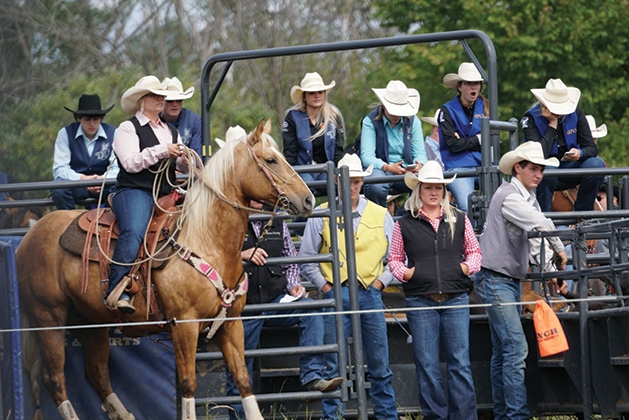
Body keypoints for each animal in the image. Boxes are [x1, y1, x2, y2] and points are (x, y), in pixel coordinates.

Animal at [15, 120, 314, 418]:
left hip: (90, 321)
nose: (308, 200)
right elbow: (188, 384)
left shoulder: (231, 324)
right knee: (55, 379)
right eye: (271, 160)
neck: (206, 239)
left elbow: (243, 380)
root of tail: (28, 237)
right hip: (49, 319)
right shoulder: (184, 325)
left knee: (97, 374)